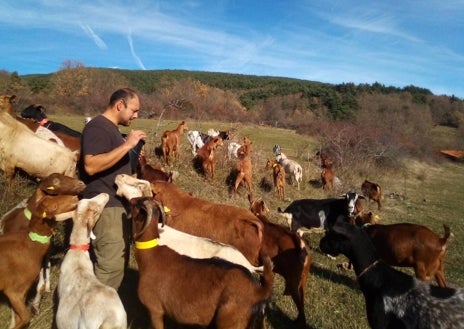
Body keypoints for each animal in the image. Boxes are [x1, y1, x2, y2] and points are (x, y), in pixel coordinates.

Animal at [0, 193, 77, 326]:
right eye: (54, 206)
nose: (75, 198)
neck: (30, 244)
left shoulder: (22, 292)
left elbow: (18, 317)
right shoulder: (13, 291)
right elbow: (24, 318)